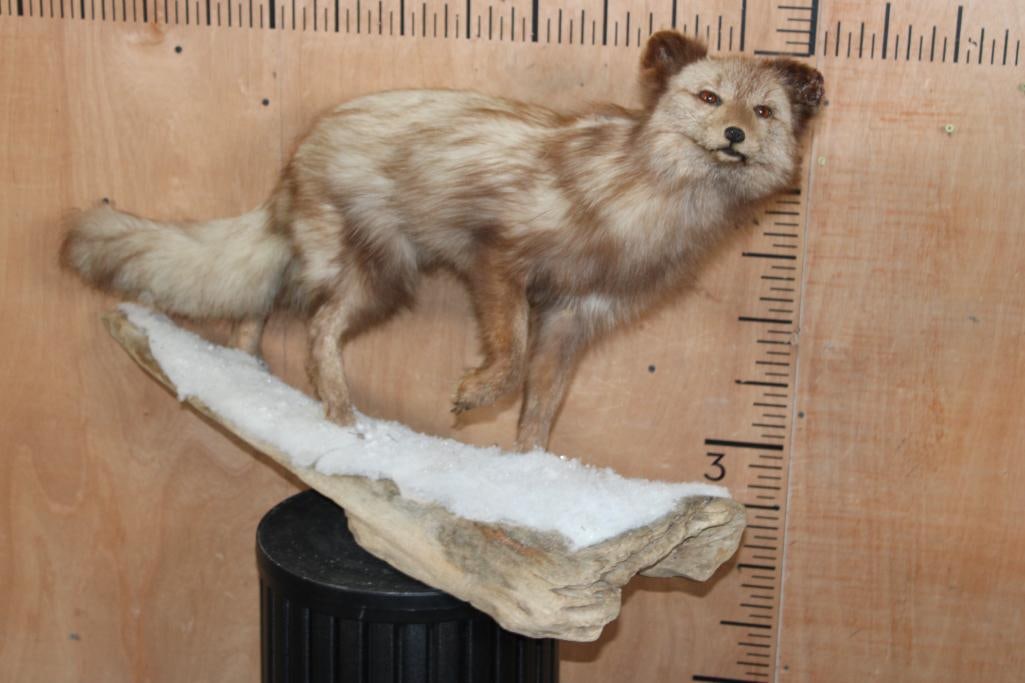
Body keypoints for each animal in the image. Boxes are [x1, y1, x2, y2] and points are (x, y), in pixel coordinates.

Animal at [61, 31, 824, 452]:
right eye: (707, 98)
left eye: (763, 111)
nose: (734, 135)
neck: (642, 199)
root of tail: (295, 158)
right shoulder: (499, 260)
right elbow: (510, 361)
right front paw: (472, 393)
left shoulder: (576, 315)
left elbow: (543, 405)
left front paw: (534, 471)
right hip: (381, 278)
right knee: (315, 328)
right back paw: (340, 417)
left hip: (351, 272)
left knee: (265, 304)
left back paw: (246, 372)